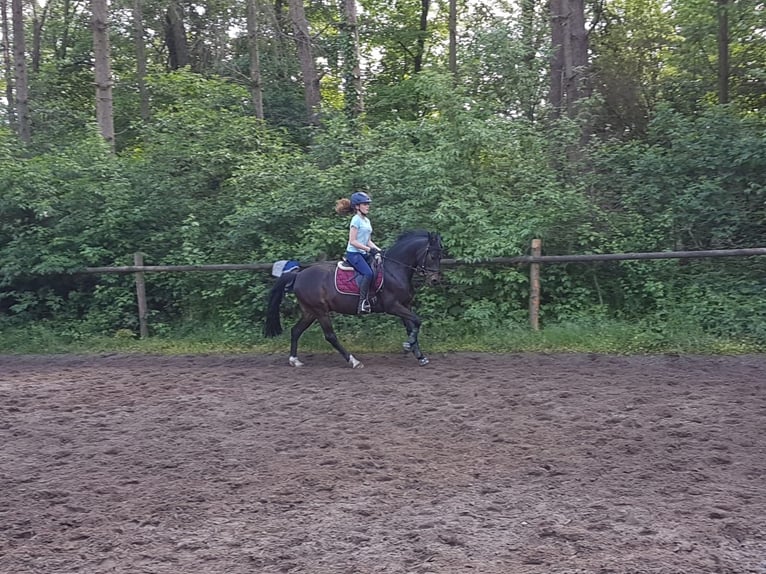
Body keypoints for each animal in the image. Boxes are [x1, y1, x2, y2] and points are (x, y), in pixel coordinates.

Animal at [264, 230, 444, 368]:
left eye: (440, 256)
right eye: (432, 256)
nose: (434, 280)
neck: (395, 269)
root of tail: (298, 275)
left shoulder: (405, 305)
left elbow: (411, 326)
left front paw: (419, 355)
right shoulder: (393, 306)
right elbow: (417, 321)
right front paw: (408, 346)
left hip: (310, 311)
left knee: (296, 331)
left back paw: (294, 360)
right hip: (320, 311)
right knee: (330, 336)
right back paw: (353, 361)